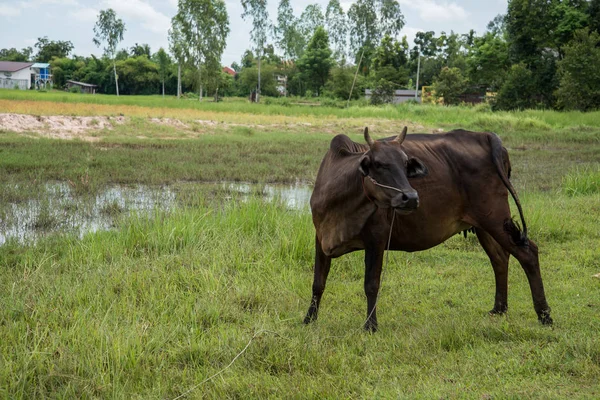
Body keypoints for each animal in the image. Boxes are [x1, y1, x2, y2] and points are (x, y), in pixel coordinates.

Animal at [304, 127, 552, 332]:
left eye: (406, 165)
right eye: (379, 164)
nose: (411, 198)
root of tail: (485, 135)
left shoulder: (377, 238)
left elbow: (371, 284)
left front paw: (370, 326)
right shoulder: (320, 236)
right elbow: (318, 282)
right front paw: (308, 319)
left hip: (495, 217)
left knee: (528, 253)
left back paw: (544, 315)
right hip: (484, 225)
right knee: (500, 258)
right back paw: (499, 308)